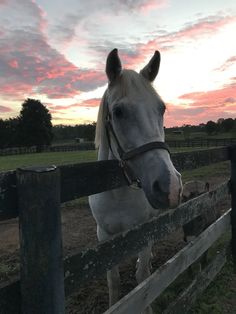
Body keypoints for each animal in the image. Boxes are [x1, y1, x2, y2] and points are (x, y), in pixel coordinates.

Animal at [88, 49, 183, 314]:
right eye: (119, 112)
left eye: (161, 109)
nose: (170, 185)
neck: (118, 194)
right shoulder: (104, 236)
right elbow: (113, 281)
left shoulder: (144, 230)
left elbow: (143, 278)